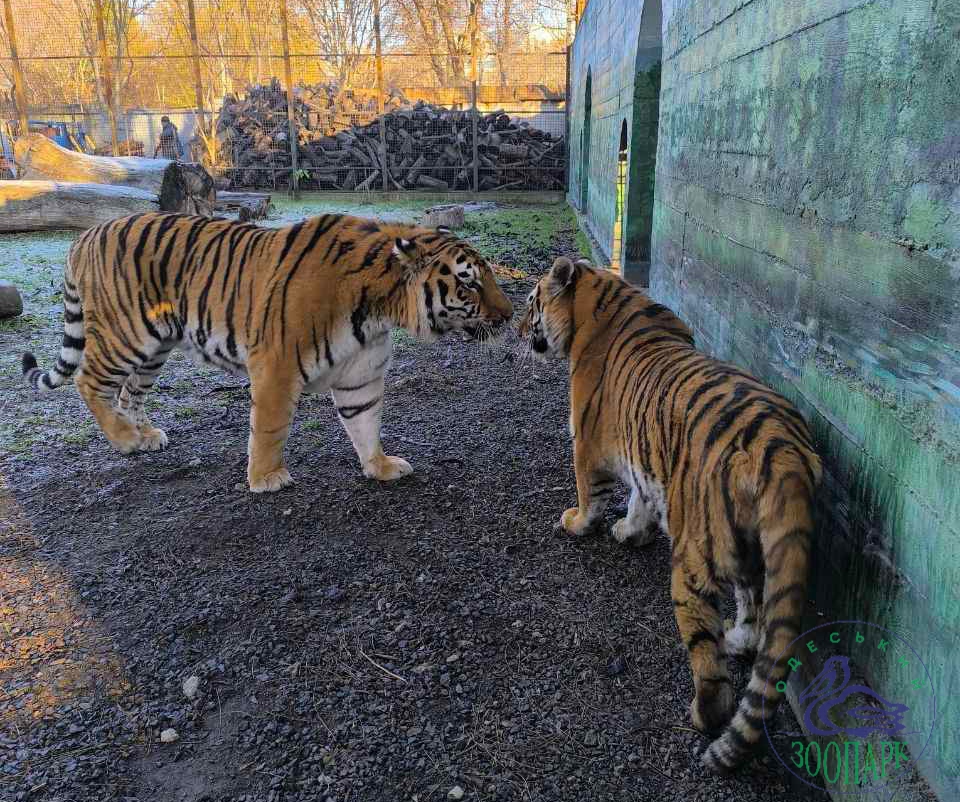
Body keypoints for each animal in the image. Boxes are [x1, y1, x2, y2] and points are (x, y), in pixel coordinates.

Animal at [22, 209, 512, 490]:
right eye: (468, 282)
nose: (509, 314)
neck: (380, 309)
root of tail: (84, 236)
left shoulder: (361, 375)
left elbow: (365, 421)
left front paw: (379, 465)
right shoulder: (277, 365)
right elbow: (270, 428)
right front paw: (266, 478)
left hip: (156, 347)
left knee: (128, 393)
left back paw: (144, 436)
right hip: (125, 334)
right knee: (89, 382)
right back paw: (124, 440)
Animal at [520, 256, 820, 768]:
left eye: (531, 302)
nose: (518, 329)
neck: (600, 299)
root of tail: (782, 451)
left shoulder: (587, 445)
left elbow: (591, 495)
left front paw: (578, 523)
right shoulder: (646, 457)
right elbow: (640, 498)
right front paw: (629, 531)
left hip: (694, 560)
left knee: (709, 662)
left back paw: (703, 715)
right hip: (755, 547)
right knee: (755, 611)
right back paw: (737, 639)